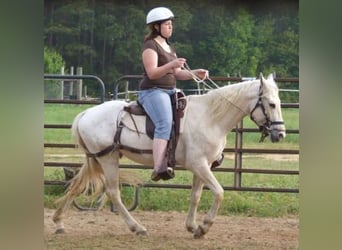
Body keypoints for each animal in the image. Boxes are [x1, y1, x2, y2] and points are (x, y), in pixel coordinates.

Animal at [51, 72, 286, 238]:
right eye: (271, 104)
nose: (281, 133)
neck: (209, 117)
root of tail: (85, 114)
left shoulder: (202, 166)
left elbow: (195, 196)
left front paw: (193, 227)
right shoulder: (198, 164)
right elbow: (219, 192)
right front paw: (205, 226)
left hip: (97, 158)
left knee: (77, 183)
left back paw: (59, 221)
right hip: (108, 159)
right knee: (113, 192)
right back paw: (137, 228)